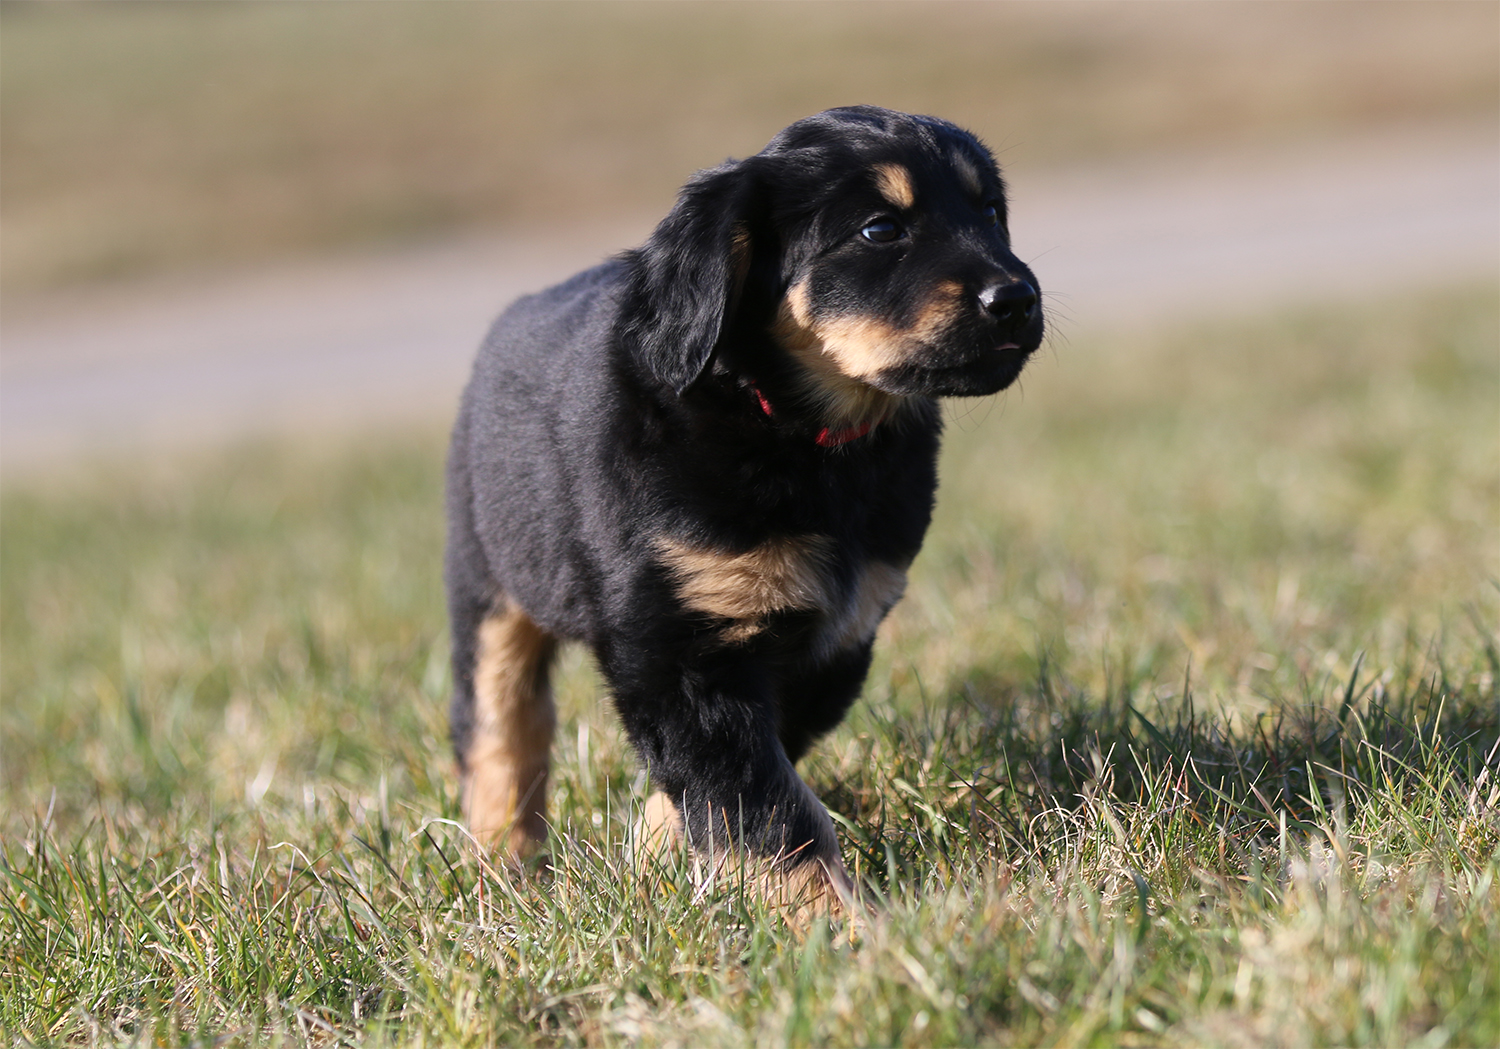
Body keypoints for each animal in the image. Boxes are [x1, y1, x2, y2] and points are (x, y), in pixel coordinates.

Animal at [446, 106, 1043, 906]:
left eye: (991, 213)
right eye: (880, 230)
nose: (1018, 299)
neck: (802, 438)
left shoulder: (837, 634)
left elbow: (745, 771)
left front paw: (657, 851)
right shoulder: (679, 644)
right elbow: (763, 806)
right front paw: (837, 923)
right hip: (489, 584)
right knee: (501, 727)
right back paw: (502, 865)